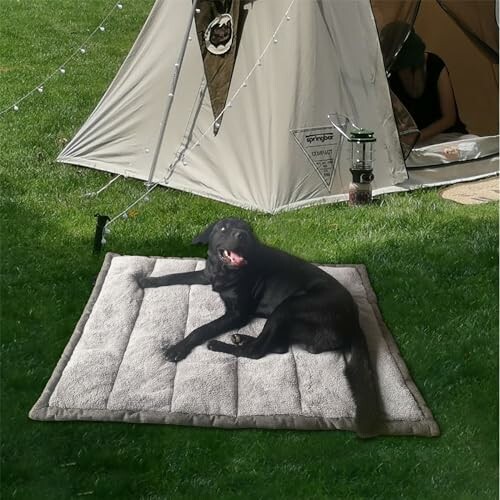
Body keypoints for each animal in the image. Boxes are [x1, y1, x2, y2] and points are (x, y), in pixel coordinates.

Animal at [143, 218, 380, 434]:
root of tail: (354, 322)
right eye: (223, 227)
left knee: (257, 351)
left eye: (247, 228)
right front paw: (147, 280)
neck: (225, 271)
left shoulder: (237, 315)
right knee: (277, 346)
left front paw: (178, 348)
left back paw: (220, 345)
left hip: (288, 307)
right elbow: (176, 275)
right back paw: (241, 339)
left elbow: (202, 329)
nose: (242, 235)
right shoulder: (206, 275)